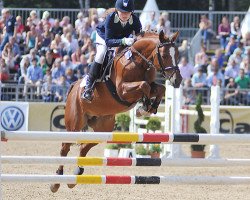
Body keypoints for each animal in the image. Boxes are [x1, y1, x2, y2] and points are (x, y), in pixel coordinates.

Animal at [50, 30, 183, 192]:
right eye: (164, 56)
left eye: (177, 54)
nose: (178, 80)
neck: (139, 61)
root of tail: (74, 87)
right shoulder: (122, 90)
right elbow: (144, 85)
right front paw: (144, 107)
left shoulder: (150, 85)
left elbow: (160, 88)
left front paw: (148, 108)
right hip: (74, 124)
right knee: (65, 148)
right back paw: (56, 181)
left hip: (103, 128)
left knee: (83, 147)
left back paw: (76, 175)